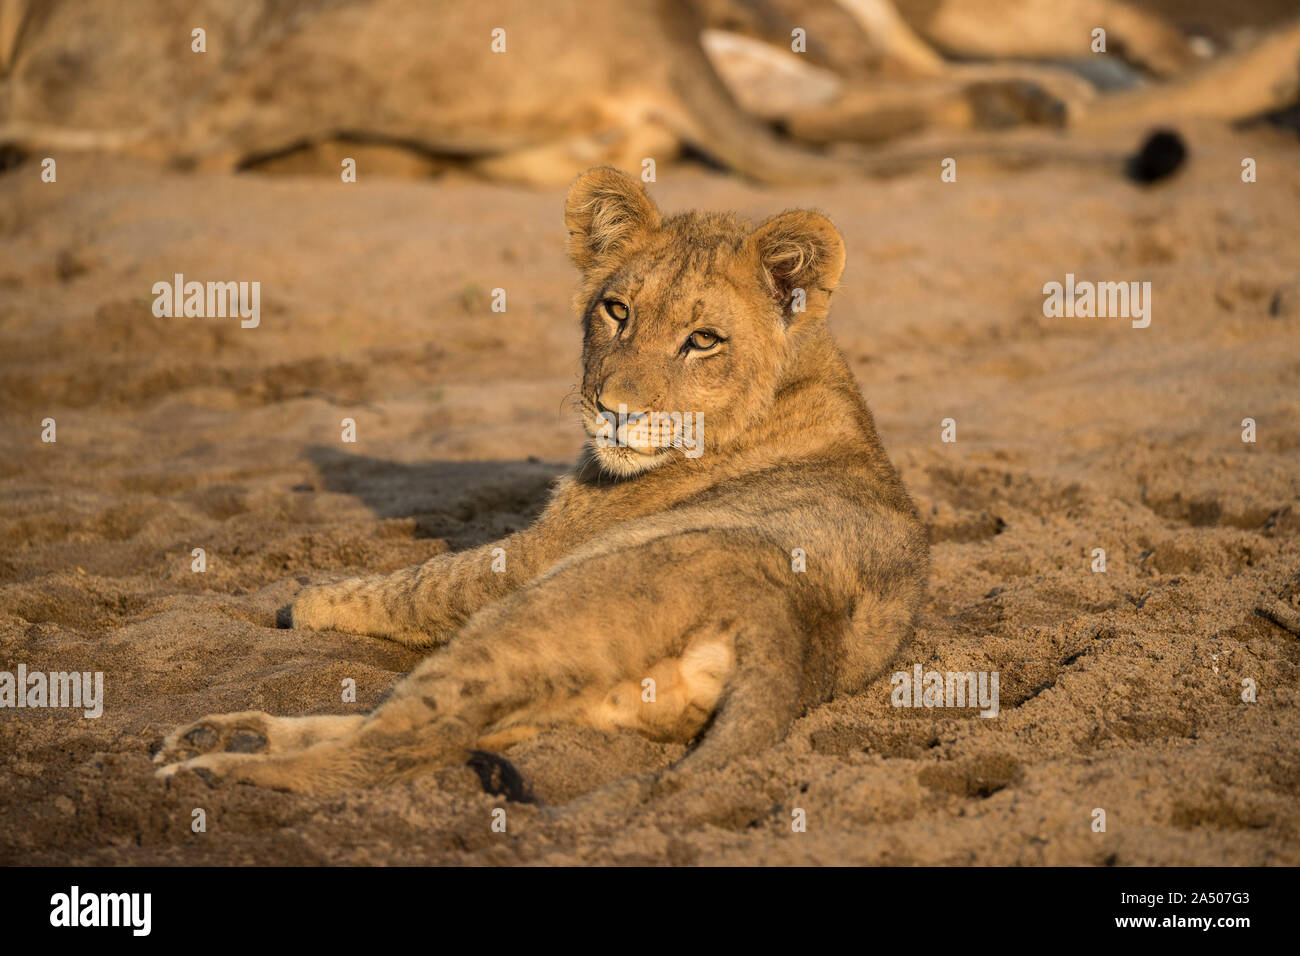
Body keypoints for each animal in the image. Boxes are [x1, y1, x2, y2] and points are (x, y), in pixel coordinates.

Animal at [152, 167, 930, 796]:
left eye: (703, 340)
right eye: (618, 310)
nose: (616, 410)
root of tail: (784, 623)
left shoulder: (531, 557)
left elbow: (423, 582)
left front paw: (307, 599)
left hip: (531, 612)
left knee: (386, 749)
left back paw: (214, 770)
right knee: (429, 732)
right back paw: (220, 736)